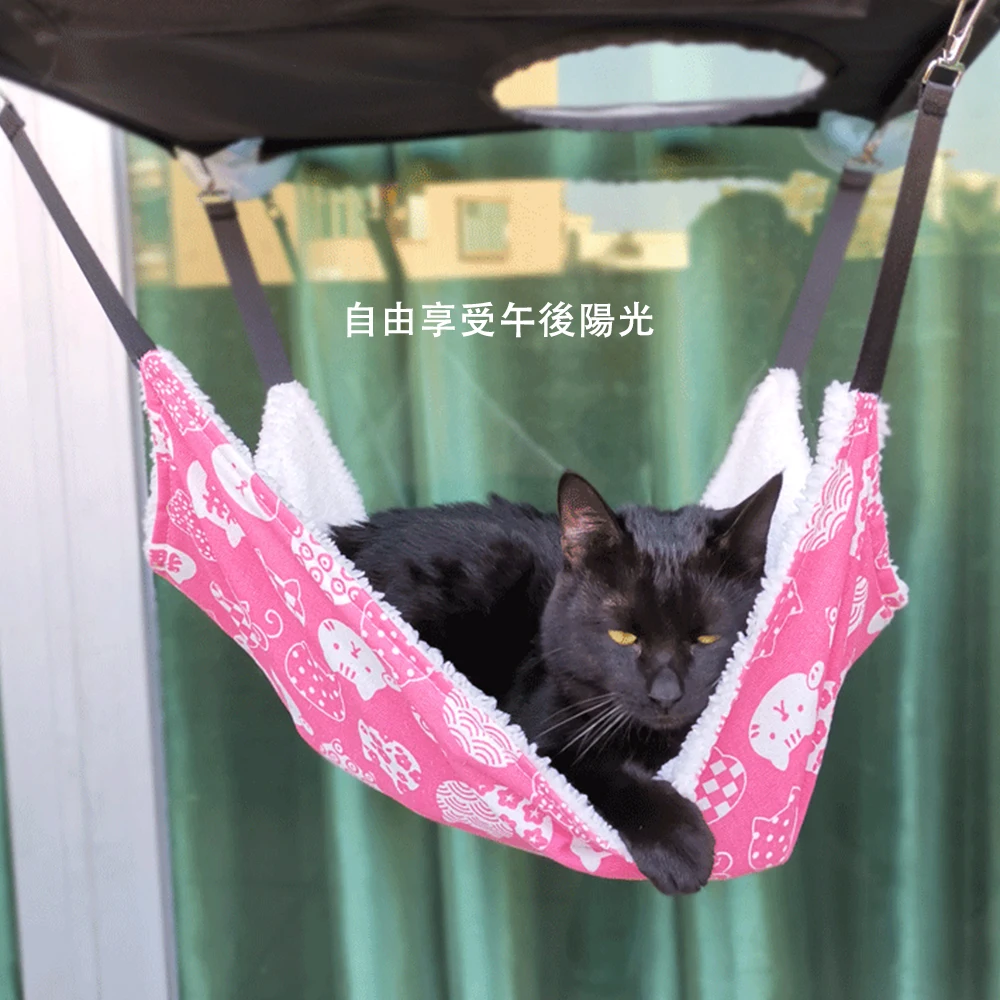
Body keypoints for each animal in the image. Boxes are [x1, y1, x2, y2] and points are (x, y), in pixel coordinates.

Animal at [331, 471, 782, 894]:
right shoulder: (539, 736)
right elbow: (594, 769)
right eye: (623, 636)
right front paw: (680, 844)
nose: (666, 695)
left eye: (705, 639)